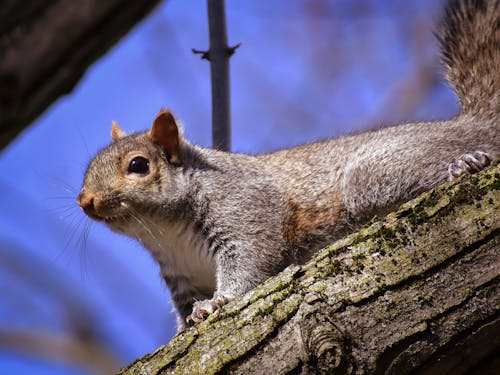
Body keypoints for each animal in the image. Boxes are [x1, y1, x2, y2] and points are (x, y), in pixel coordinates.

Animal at [77, 0, 496, 332]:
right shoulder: (182, 278)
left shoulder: (246, 211)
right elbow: (183, 311)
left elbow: (250, 262)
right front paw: (184, 328)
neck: (166, 233)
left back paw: (467, 164)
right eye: (89, 167)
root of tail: (473, 124)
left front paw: (217, 302)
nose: (85, 201)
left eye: (138, 165)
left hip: (373, 177)